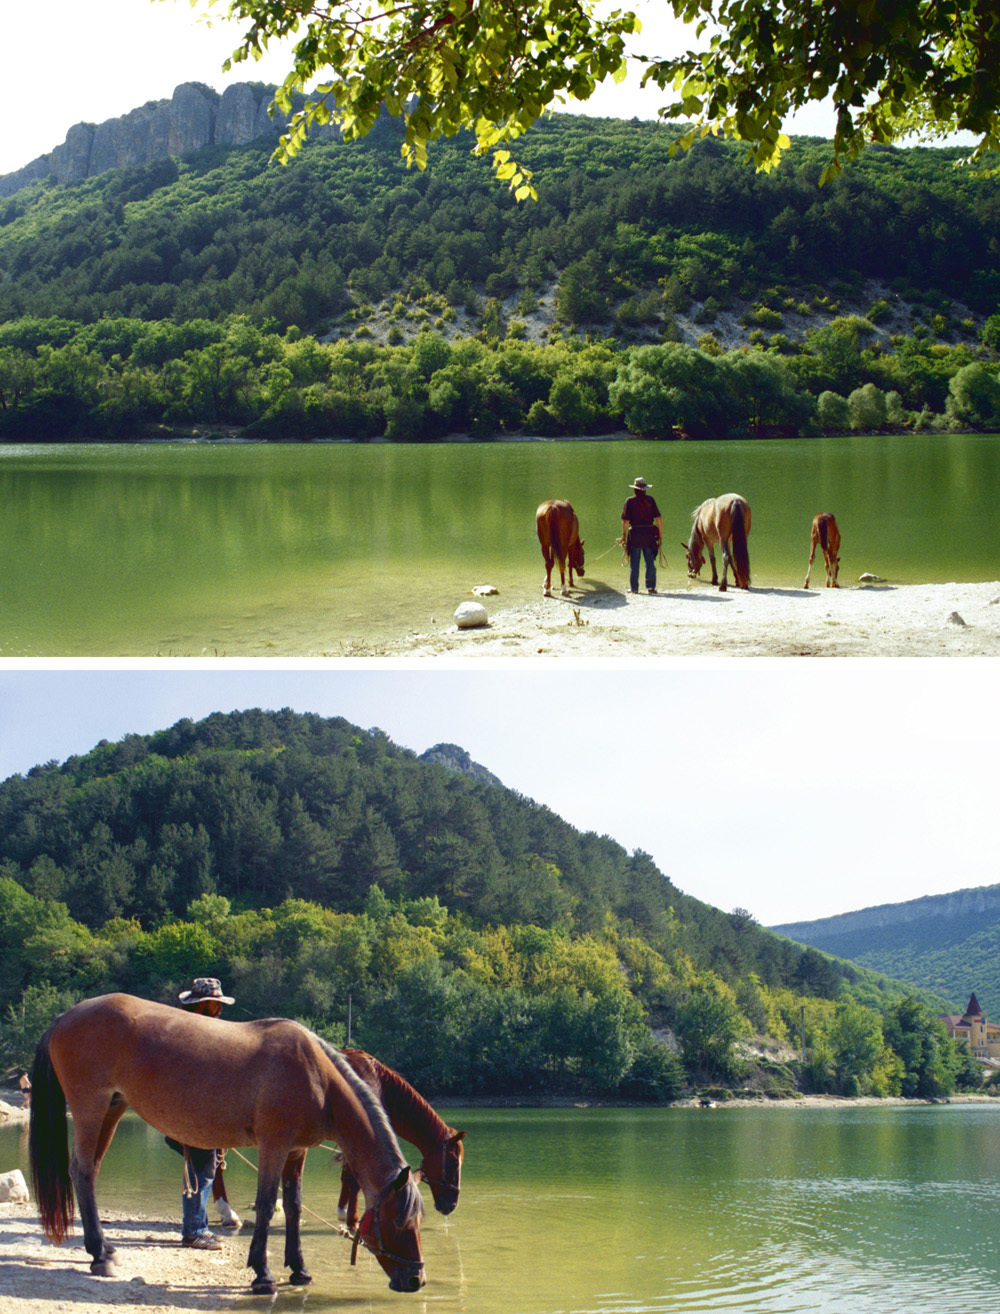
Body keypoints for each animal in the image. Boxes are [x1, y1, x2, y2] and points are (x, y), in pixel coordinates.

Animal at [27, 993, 425, 1292]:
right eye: (398, 1222)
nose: (416, 1280)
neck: (316, 1076)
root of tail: (66, 1015)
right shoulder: (273, 1146)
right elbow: (266, 1205)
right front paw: (263, 1275)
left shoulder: (296, 1152)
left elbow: (294, 1206)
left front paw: (299, 1269)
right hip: (89, 1108)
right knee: (81, 1172)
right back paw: (99, 1256)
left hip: (112, 1109)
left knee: (90, 1172)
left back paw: (105, 1249)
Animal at [333, 1045, 462, 1229]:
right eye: (453, 1163)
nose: (451, 1206)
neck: (381, 1086)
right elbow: (354, 1180)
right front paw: (353, 1220)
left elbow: (347, 1176)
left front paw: (343, 1213)